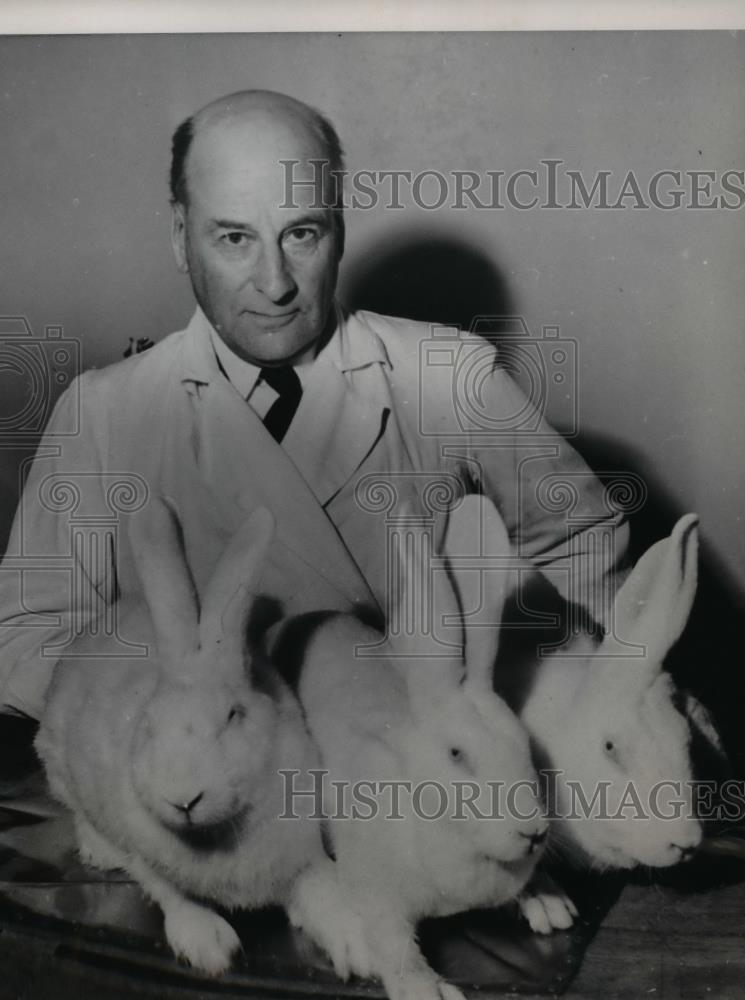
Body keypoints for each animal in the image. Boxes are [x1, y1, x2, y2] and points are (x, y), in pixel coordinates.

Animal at [34, 500, 322, 976]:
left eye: (233, 715)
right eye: (148, 724)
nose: (184, 799)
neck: (213, 835)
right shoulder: (145, 853)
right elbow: (170, 893)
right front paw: (209, 947)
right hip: (56, 758)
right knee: (78, 810)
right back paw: (99, 851)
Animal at [282, 498, 544, 1000]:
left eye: (525, 742)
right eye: (457, 755)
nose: (535, 832)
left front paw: (546, 900)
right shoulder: (377, 894)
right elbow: (395, 944)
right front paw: (428, 990)